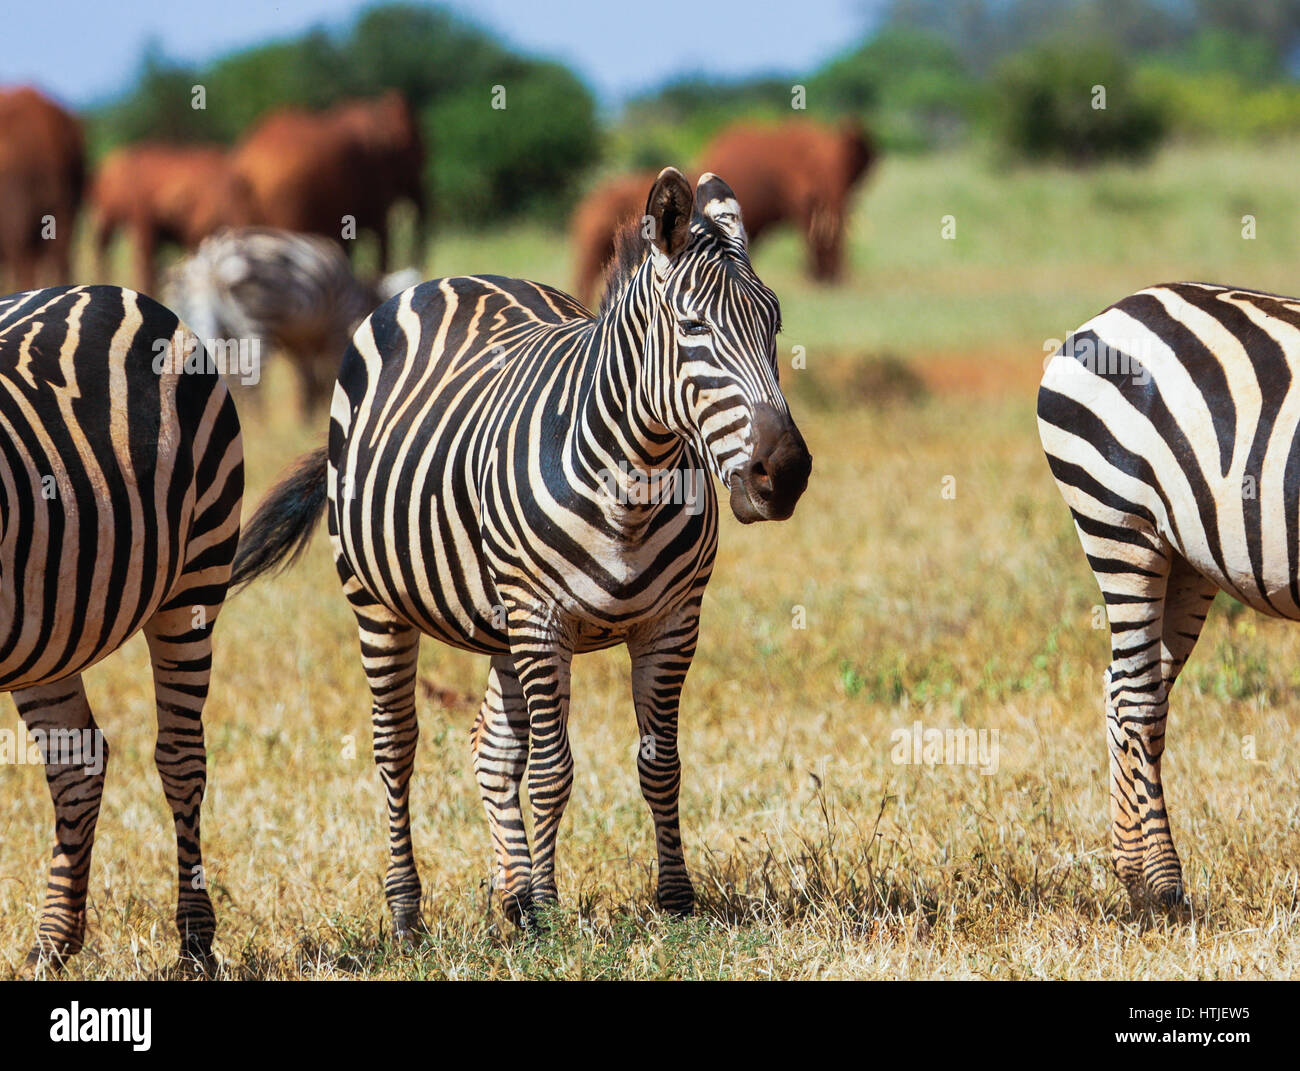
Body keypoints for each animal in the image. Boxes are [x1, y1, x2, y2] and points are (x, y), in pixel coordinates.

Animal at [0, 284, 244, 972]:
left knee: (182, 758)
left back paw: (195, 942)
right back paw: (53, 942)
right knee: (76, 764)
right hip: (46, 631)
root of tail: (100, 290)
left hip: (195, 582)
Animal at [161, 226, 416, 410]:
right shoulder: (338, 324)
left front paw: (309, 414)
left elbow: (306, 377)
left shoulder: (300, 338)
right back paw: (257, 423)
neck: (361, 294)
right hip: (256, 320)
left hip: (195, 314)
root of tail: (212, 259)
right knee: (246, 371)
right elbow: (332, 369)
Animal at [228, 167, 806, 930]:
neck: (634, 477)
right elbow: (554, 769)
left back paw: (512, 896)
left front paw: (674, 901)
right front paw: (554, 914)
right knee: (397, 746)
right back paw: (409, 912)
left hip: (501, 621)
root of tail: (453, 278)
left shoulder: (672, 622)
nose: (785, 474)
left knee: (493, 748)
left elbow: (660, 763)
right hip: (377, 600)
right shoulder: (543, 618)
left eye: (775, 325)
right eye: (693, 327)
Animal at [1040, 280, 1300, 909]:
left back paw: (1133, 875)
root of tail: (1107, 314)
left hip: (1185, 557)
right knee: (1137, 698)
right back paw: (1161, 885)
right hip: (1118, 523)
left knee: (1127, 688)